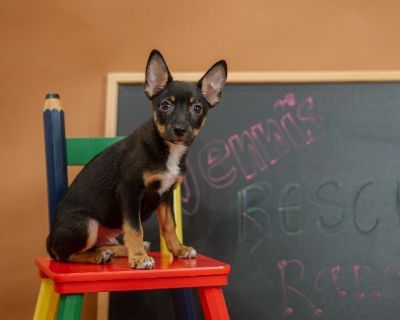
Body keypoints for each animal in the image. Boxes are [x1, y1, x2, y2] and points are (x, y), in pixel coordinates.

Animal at [45, 50, 227, 270]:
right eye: (165, 106)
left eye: (197, 108)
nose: (180, 129)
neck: (167, 149)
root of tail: (49, 241)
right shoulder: (129, 191)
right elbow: (134, 229)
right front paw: (139, 258)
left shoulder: (165, 194)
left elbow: (169, 225)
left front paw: (178, 249)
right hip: (86, 224)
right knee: (64, 255)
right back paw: (98, 256)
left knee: (103, 244)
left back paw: (115, 251)